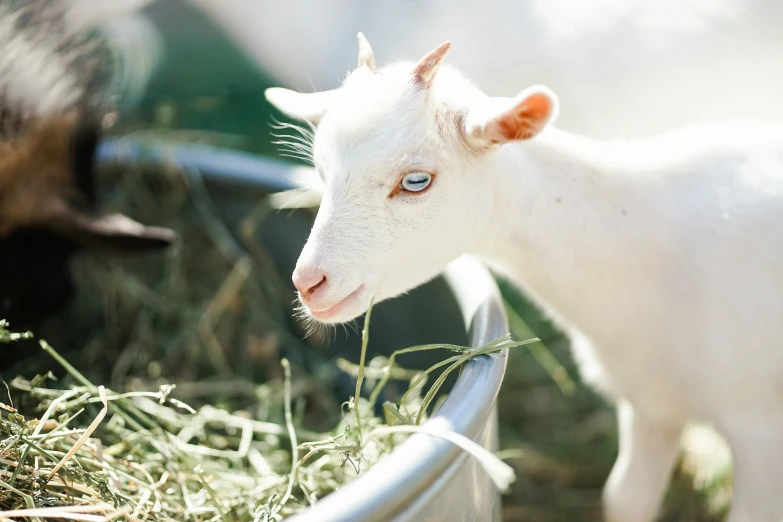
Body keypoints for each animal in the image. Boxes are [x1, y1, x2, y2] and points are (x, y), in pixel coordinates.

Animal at [266, 34, 783, 516]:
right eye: (320, 170)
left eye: (416, 181)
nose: (309, 283)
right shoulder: (650, 402)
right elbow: (624, 500)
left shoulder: (758, 429)